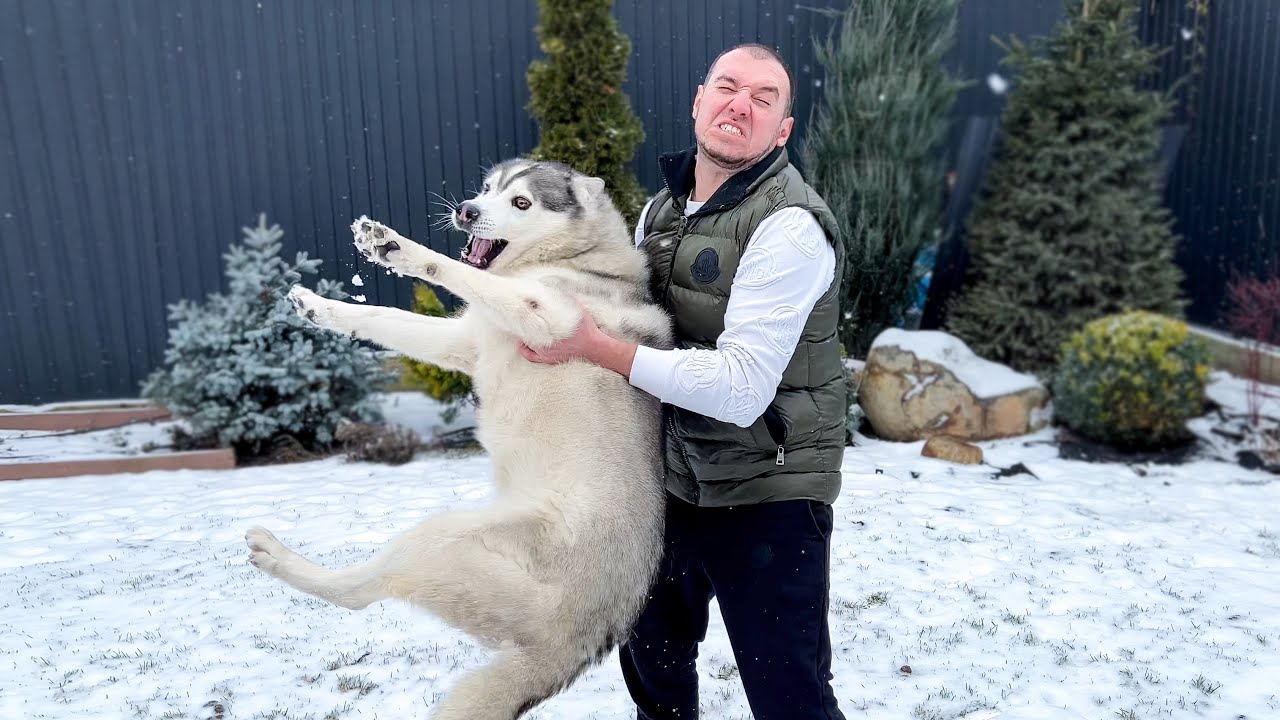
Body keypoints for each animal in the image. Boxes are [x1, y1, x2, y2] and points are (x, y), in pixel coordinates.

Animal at [243, 161, 675, 717]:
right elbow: (386, 318)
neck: (578, 262)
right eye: (488, 188)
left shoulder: (544, 314)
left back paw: (277, 556)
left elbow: (454, 269)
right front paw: (321, 308)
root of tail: (580, 641)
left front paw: (394, 246)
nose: (467, 211)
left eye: (521, 203)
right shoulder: (459, 342)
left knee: (356, 593)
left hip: (439, 540)